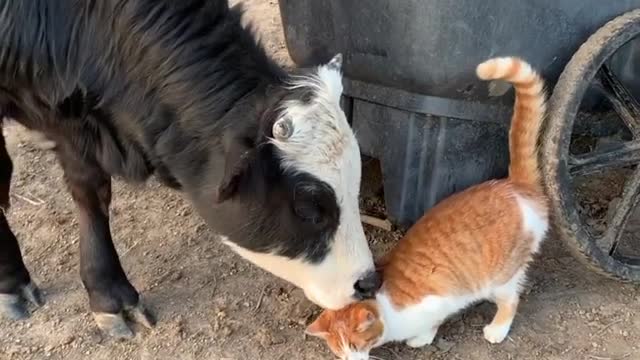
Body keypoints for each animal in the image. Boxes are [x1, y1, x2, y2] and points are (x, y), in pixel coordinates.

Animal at [304, 57, 552, 360]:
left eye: (356, 345)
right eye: (339, 352)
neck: (386, 308)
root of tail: (515, 185)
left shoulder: (440, 301)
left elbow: (434, 322)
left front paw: (421, 338)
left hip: (499, 277)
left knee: (511, 298)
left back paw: (497, 329)